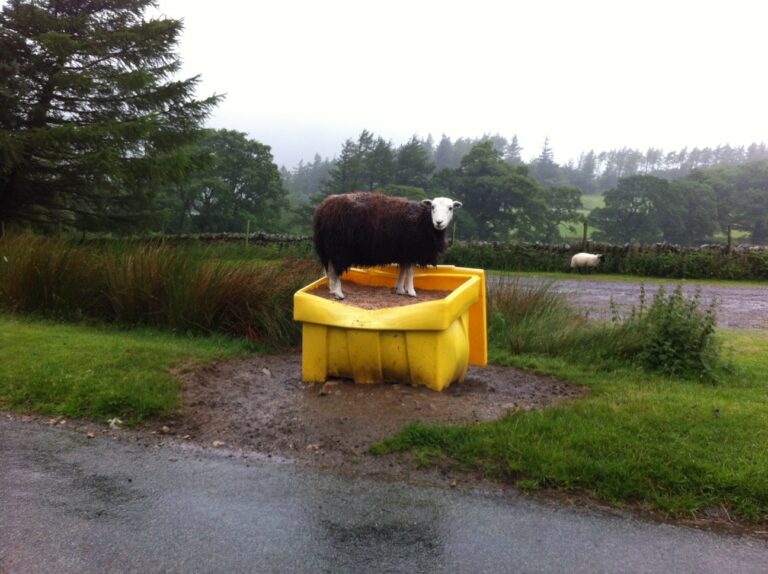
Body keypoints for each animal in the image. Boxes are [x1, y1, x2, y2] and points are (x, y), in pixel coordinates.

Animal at [312, 192, 462, 299]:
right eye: (432, 207)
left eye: (450, 208)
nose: (439, 222)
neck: (425, 222)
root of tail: (323, 208)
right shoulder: (412, 251)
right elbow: (410, 272)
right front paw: (411, 291)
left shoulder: (404, 253)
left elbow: (403, 271)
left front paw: (400, 289)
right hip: (339, 248)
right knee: (335, 270)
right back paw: (338, 293)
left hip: (329, 248)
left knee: (330, 268)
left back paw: (332, 290)